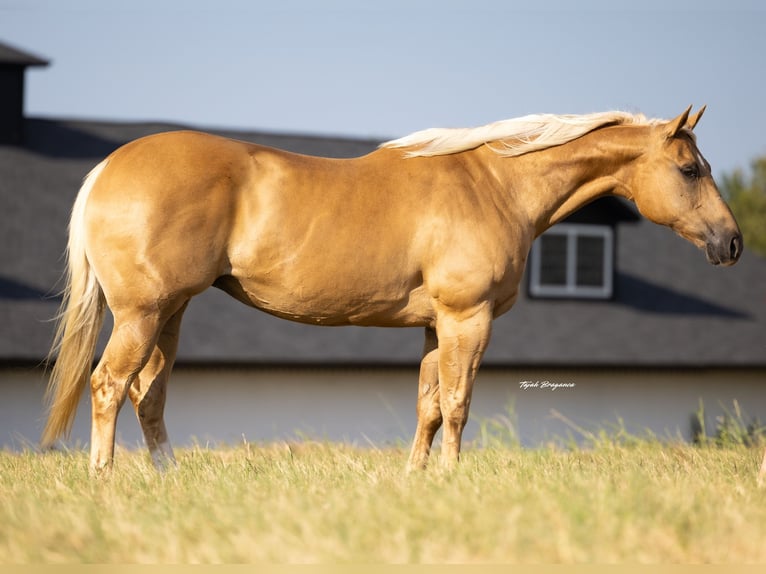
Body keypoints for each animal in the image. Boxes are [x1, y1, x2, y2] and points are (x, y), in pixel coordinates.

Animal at [42, 105, 743, 474]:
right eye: (690, 169)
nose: (732, 243)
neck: (495, 184)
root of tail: (109, 168)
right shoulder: (468, 318)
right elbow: (458, 403)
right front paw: (454, 479)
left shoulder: (436, 326)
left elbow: (428, 406)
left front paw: (417, 480)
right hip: (143, 312)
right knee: (109, 386)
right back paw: (105, 479)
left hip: (171, 313)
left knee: (148, 394)